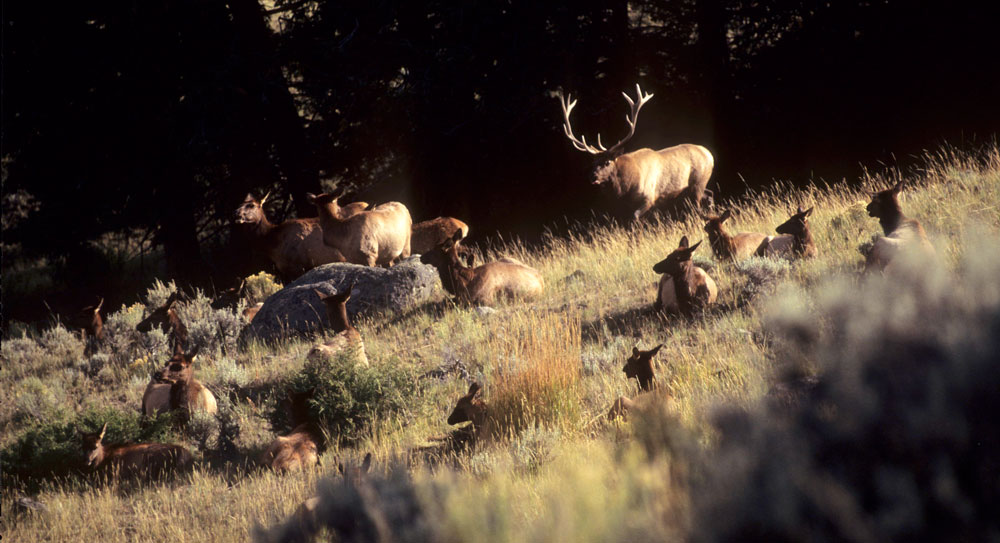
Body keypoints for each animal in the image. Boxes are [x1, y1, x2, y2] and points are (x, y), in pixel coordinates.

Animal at [559, 83, 715, 221]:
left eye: (607, 162)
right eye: (593, 162)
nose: (593, 176)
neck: (625, 188)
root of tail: (710, 154)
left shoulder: (649, 197)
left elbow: (635, 218)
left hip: (698, 183)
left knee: (698, 205)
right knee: (710, 194)